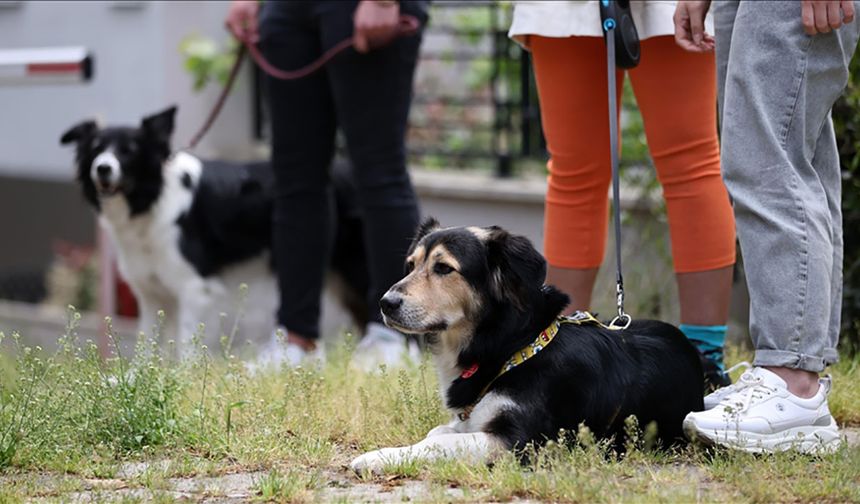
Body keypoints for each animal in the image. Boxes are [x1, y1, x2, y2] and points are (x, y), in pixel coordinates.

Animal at [352, 219, 704, 474]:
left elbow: (439, 444)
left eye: (443, 268)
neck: (511, 345)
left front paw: (378, 458)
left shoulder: (521, 441)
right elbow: (438, 432)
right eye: (411, 265)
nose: (385, 303)